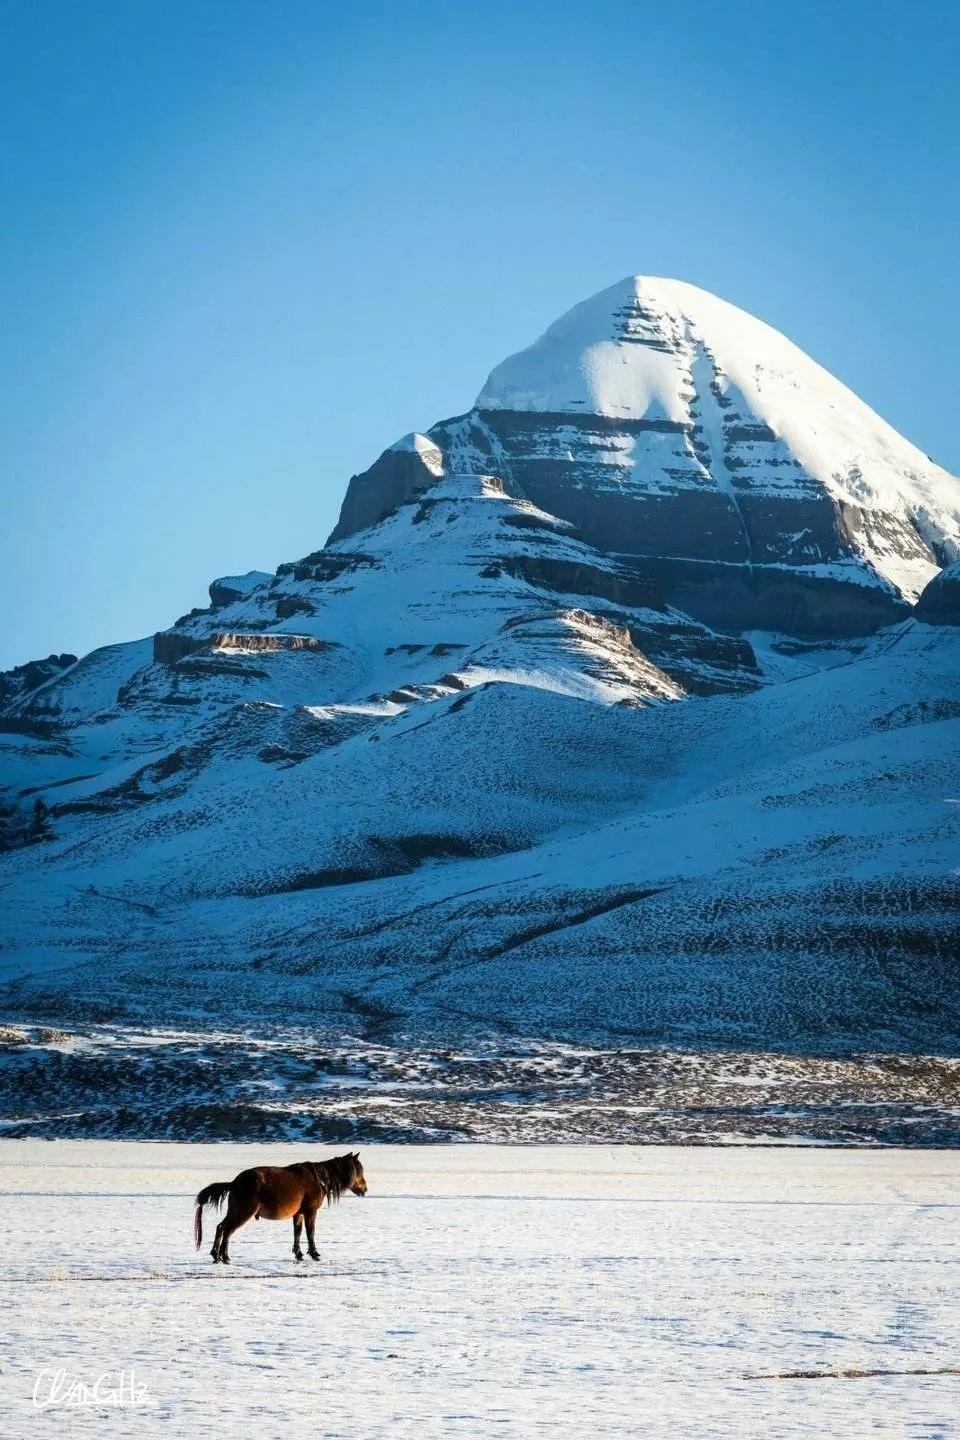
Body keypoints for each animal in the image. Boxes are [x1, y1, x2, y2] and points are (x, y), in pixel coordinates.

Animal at [192, 1152, 365, 1267]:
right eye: (359, 1171)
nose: (365, 1189)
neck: (319, 1178)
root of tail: (234, 1182)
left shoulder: (298, 1213)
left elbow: (297, 1232)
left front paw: (299, 1254)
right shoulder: (310, 1211)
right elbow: (310, 1232)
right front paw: (314, 1254)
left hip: (235, 1210)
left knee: (221, 1227)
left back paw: (216, 1255)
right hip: (244, 1211)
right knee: (227, 1230)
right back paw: (225, 1256)